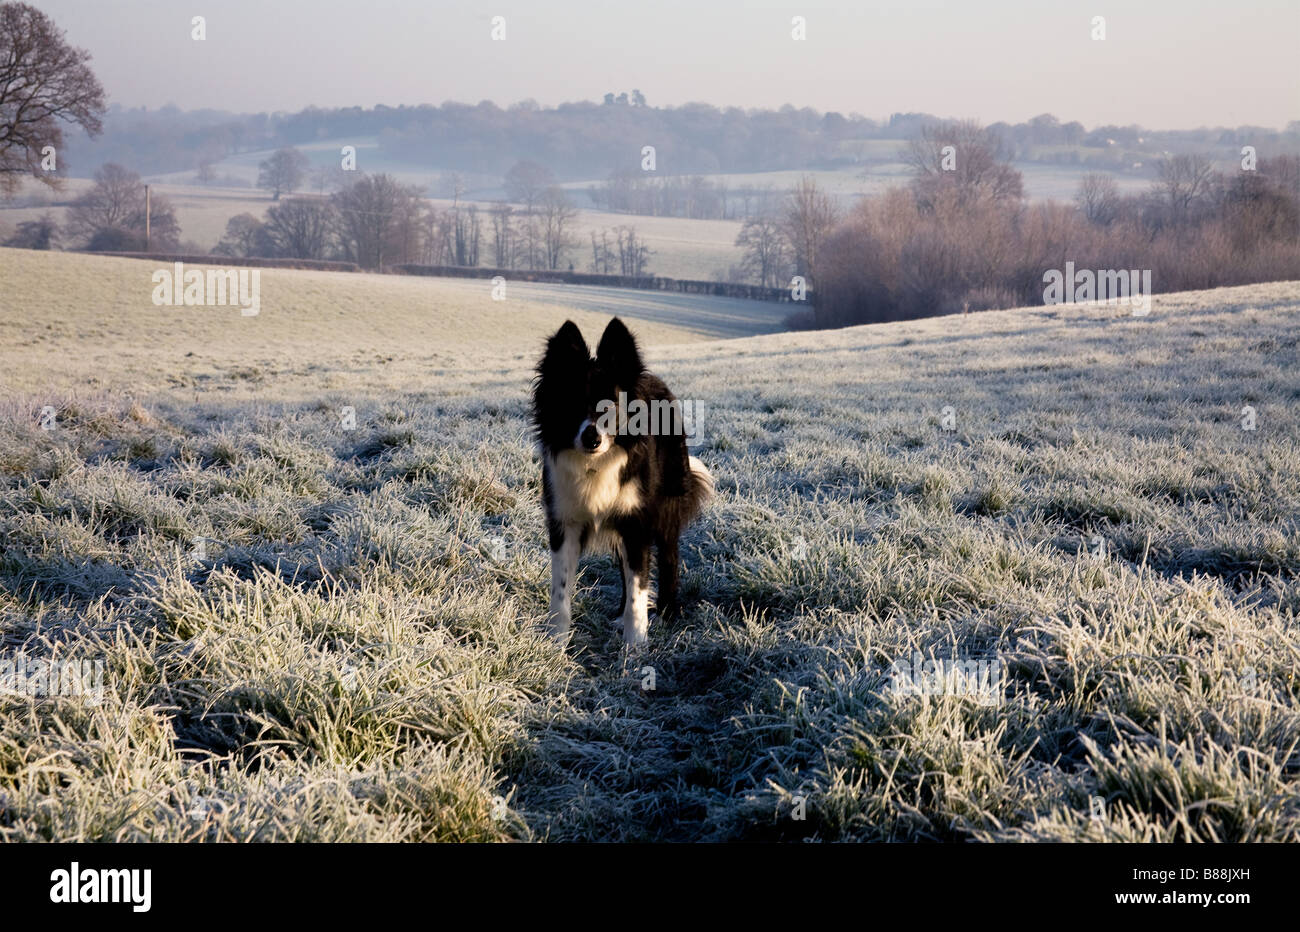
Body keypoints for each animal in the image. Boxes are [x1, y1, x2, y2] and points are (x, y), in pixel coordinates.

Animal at [527, 315, 712, 644]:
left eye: (611, 406)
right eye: (572, 404)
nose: (592, 438)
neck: (594, 464)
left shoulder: (636, 520)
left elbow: (638, 591)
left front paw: (635, 646)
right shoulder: (565, 522)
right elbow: (560, 593)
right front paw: (555, 644)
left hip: (666, 505)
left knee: (669, 558)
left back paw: (667, 614)